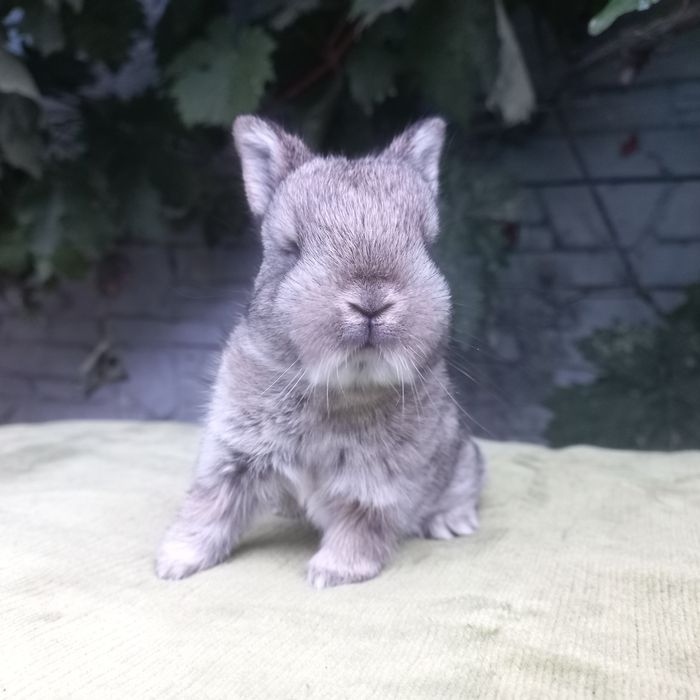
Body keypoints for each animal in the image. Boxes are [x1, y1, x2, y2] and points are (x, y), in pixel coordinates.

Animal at [155, 115, 485, 589]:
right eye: (291, 249)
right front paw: (175, 562)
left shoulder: (377, 484)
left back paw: (450, 522)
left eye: (427, 246)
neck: (341, 386)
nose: (371, 302)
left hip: (462, 460)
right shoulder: (232, 455)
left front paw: (331, 572)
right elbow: (210, 506)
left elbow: (361, 526)